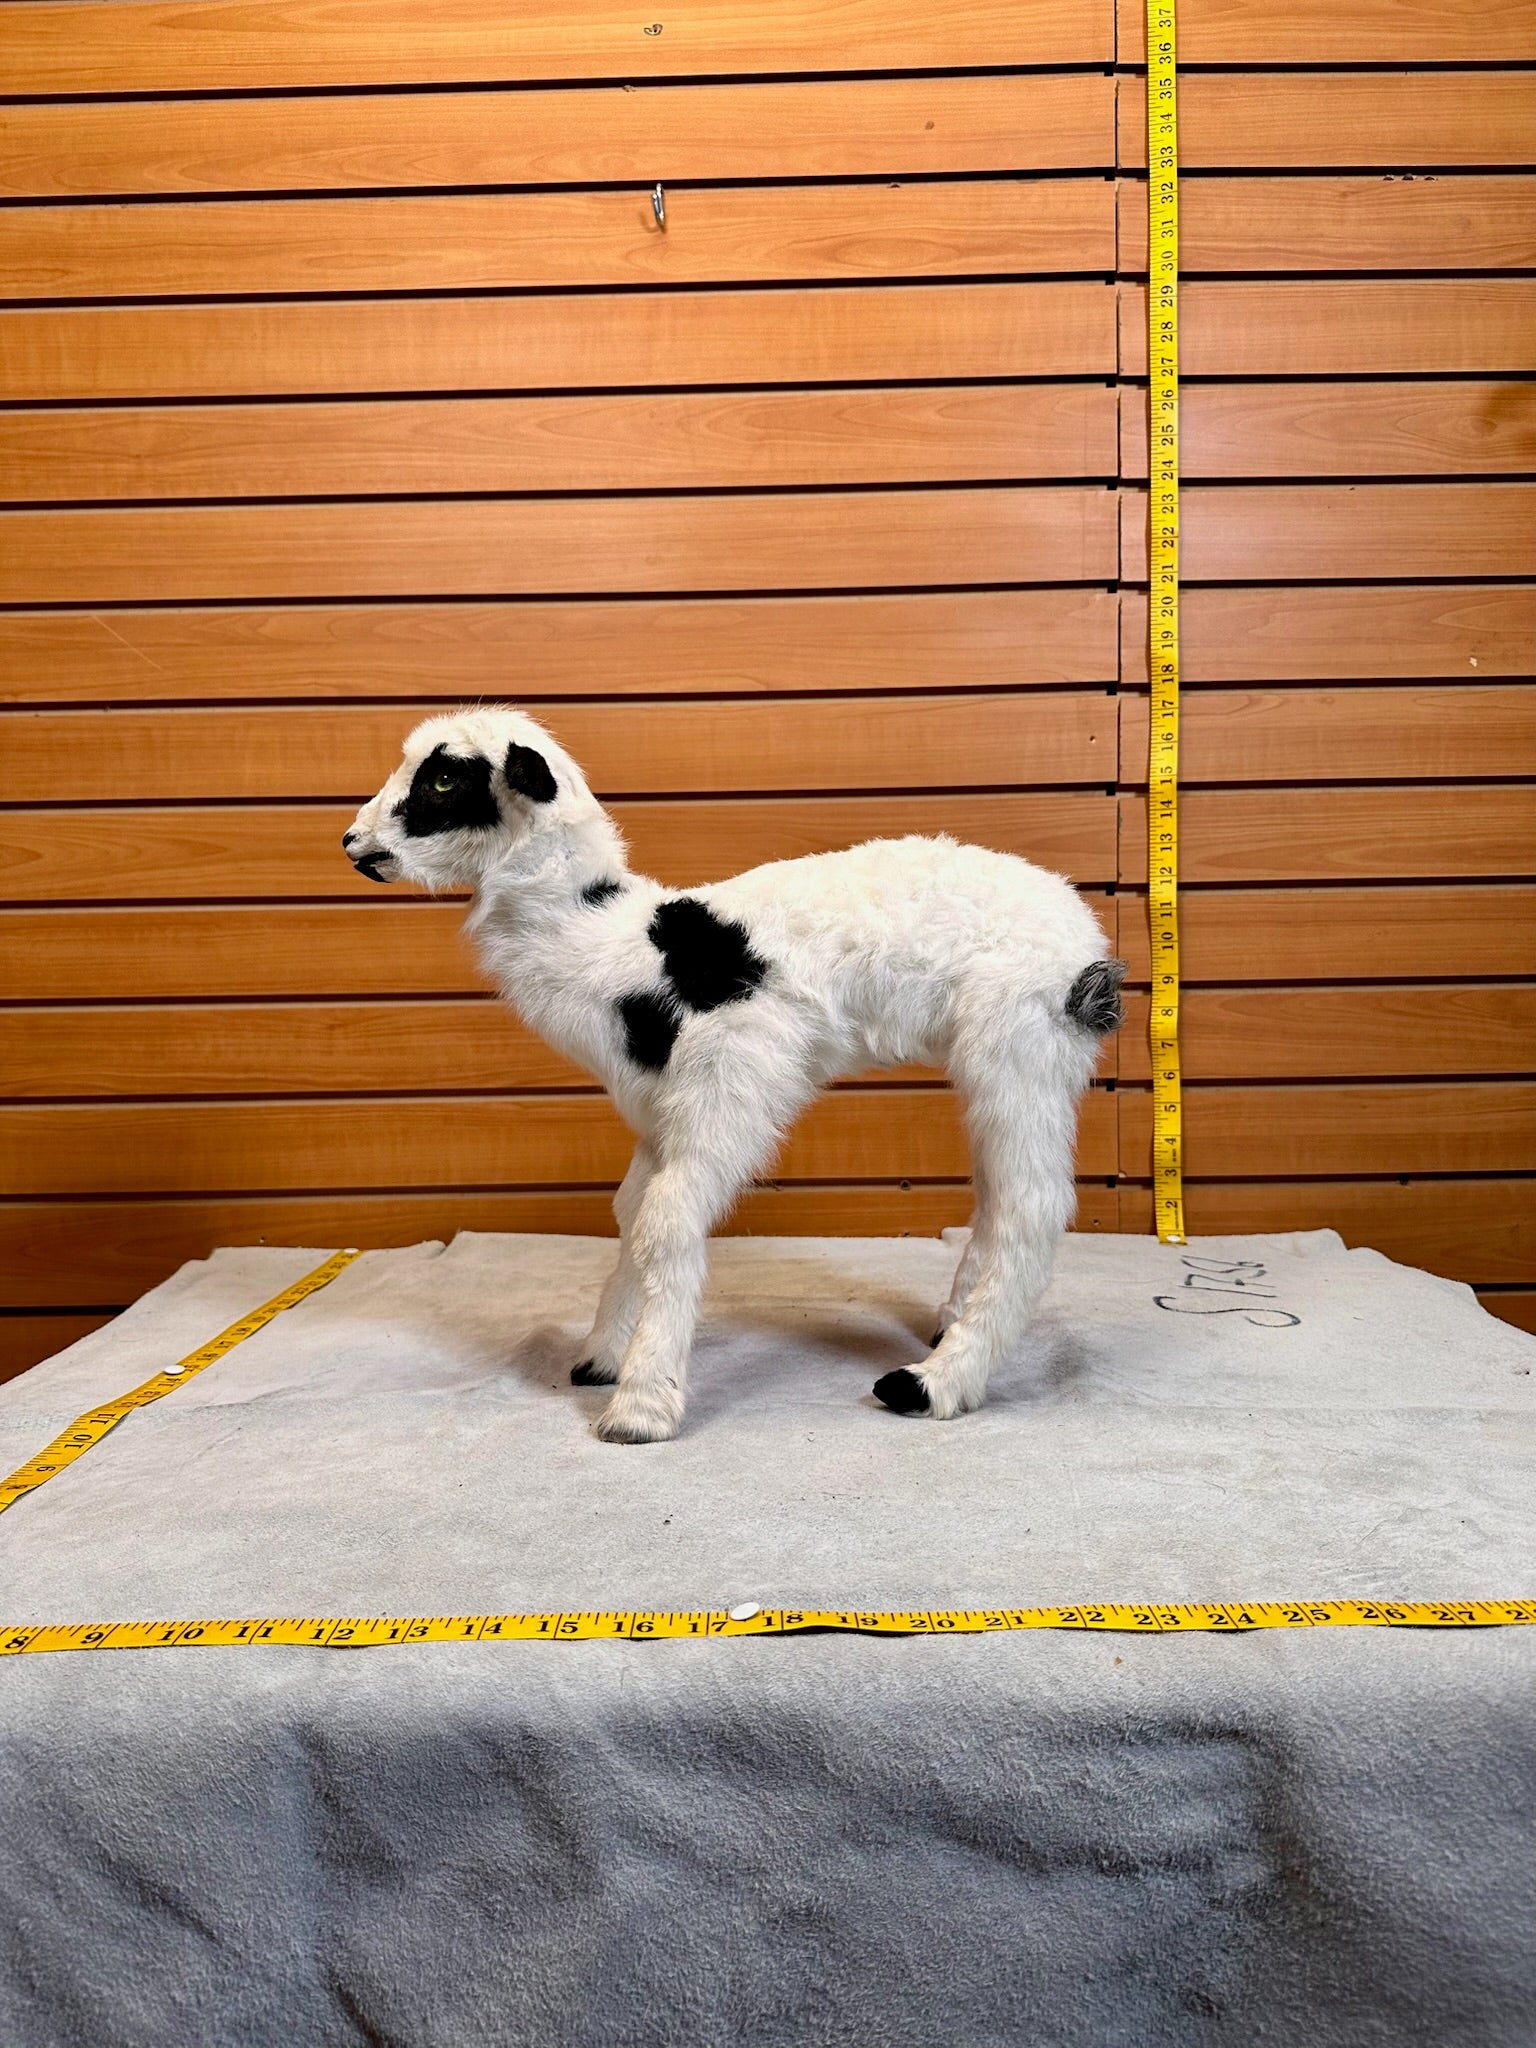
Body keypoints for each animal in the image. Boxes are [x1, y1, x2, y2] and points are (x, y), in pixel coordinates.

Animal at [344, 708, 1124, 1444]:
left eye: (445, 779)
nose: (352, 844)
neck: (607, 938)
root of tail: (1087, 946)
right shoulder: (658, 1110)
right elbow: (629, 1211)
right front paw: (603, 1356)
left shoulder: (732, 1078)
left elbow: (667, 1221)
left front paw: (641, 1407)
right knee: (996, 1193)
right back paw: (949, 1322)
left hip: (1018, 1040)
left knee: (1033, 1205)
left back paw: (932, 1382)